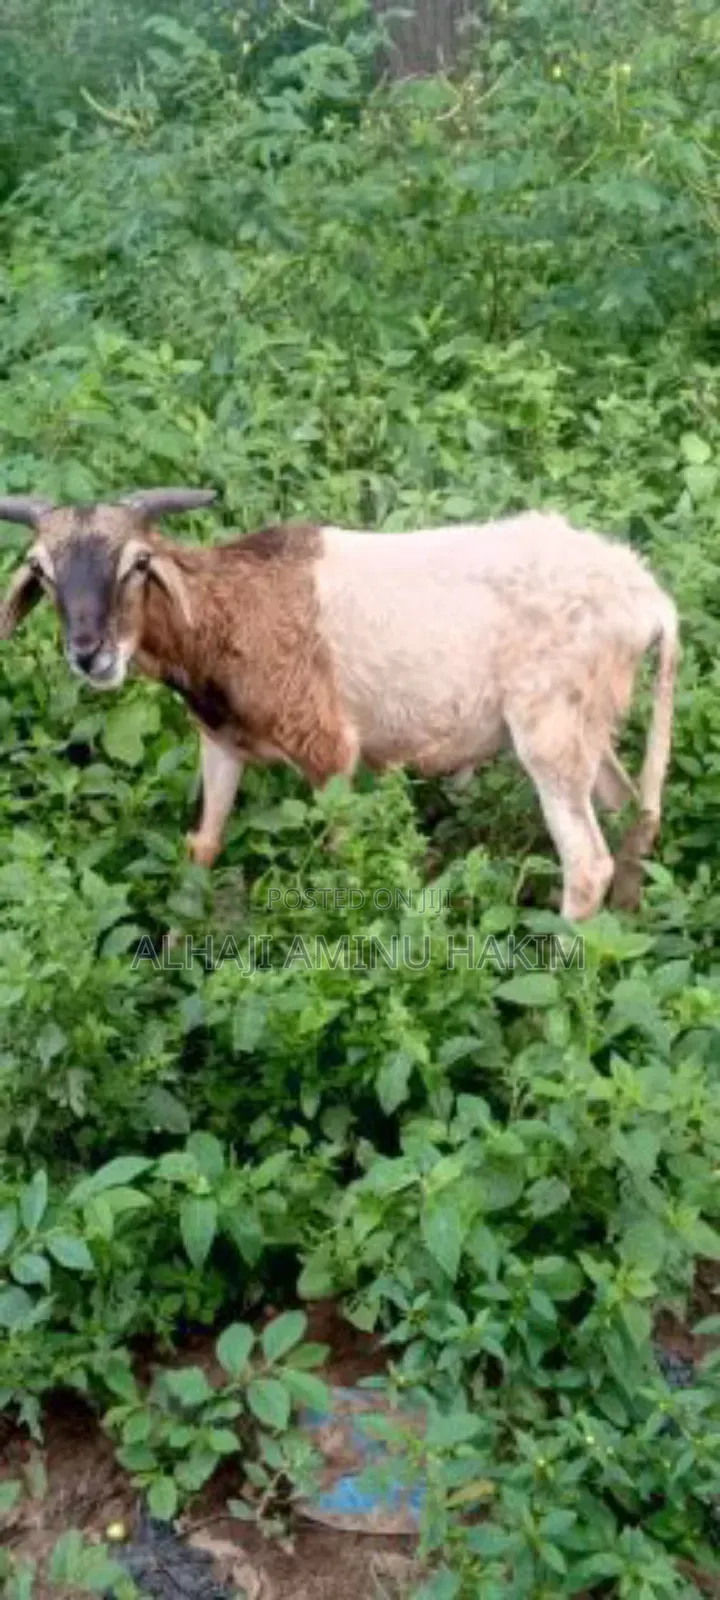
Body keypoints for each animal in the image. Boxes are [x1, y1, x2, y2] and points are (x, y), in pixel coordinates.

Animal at [0, 488, 678, 922]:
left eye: (138, 563)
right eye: (42, 569)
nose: (89, 654)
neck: (229, 612)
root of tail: (650, 599)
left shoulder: (327, 749)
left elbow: (342, 856)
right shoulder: (221, 743)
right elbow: (202, 847)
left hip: (549, 729)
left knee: (586, 864)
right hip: (589, 725)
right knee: (634, 811)